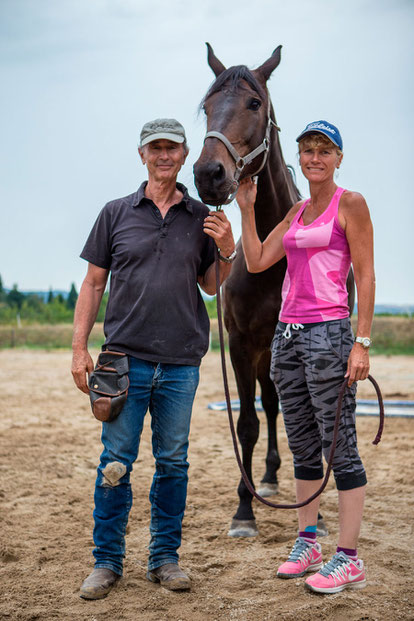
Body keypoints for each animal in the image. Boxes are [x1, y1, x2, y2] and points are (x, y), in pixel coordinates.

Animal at [194, 44, 350, 536]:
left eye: (254, 103)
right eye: (207, 106)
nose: (209, 173)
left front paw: (316, 511)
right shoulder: (242, 345)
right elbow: (247, 423)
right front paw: (244, 511)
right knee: (271, 404)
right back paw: (267, 477)